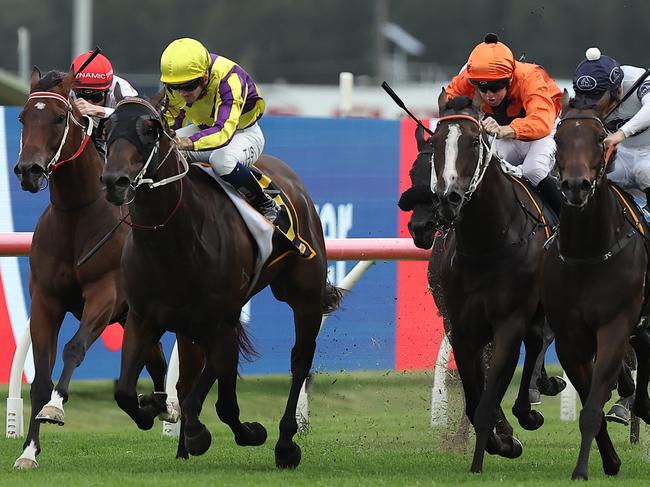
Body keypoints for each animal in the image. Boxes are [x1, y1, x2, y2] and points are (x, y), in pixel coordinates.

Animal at [12, 68, 177, 468]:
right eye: (23, 117)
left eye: (59, 118)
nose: (28, 171)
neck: (76, 214)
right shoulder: (46, 301)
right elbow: (40, 378)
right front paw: (28, 451)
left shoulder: (106, 293)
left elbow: (74, 348)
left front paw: (56, 407)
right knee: (156, 362)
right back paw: (155, 407)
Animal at [98, 94, 342, 468]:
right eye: (106, 128)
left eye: (151, 130)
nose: (115, 181)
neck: (171, 241)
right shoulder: (144, 318)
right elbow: (125, 392)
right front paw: (154, 407)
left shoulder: (221, 321)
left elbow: (224, 404)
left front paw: (239, 433)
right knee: (196, 374)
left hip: (303, 294)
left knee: (300, 358)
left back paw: (286, 442)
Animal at [540, 93, 648, 482]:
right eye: (558, 140)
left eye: (600, 139)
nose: (576, 185)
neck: (588, 252)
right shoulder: (569, 338)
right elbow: (591, 402)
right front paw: (608, 460)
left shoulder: (615, 326)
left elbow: (592, 405)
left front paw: (583, 468)